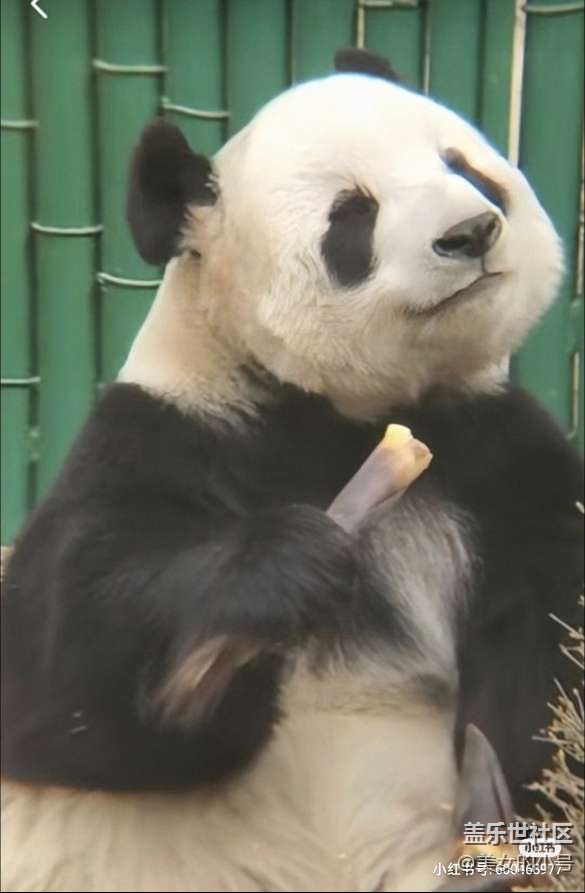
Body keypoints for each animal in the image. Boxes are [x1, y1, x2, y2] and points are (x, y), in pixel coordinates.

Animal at [1, 47, 583, 892]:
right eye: (353, 214)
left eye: (462, 165)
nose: (471, 230)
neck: (335, 418)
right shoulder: (165, 437)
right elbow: (52, 683)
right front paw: (278, 572)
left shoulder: (494, 458)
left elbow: (551, 651)